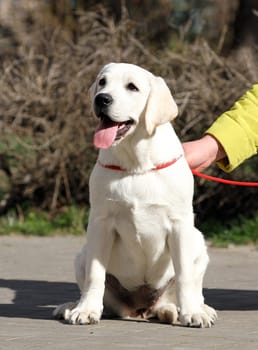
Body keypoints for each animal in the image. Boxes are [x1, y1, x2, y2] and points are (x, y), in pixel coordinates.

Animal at [53, 63, 217, 328]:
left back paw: (187, 309)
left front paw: (192, 312)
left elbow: (184, 275)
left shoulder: (180, 224)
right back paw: (71, 306)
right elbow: (95, 275)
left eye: (132, 87)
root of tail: (141, 309)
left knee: (188, 289)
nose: (102, 99)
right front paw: (86, 311)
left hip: (199, 246)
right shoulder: (100, 222)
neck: (136, 164)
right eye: (102, 82)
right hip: (82, 255)